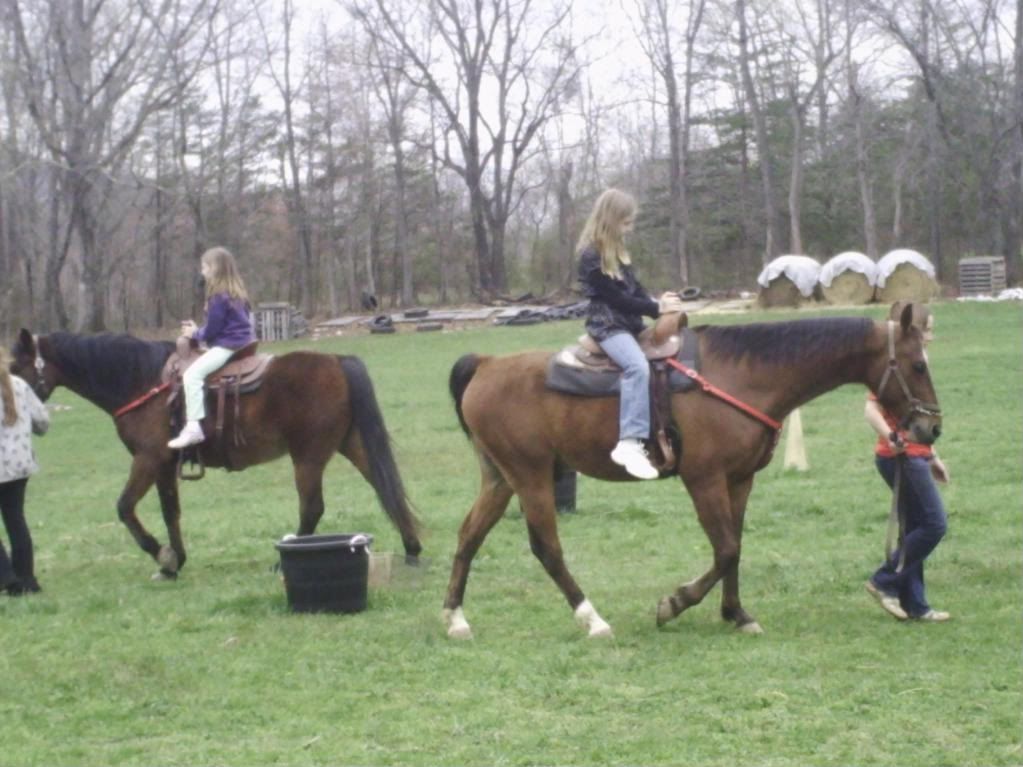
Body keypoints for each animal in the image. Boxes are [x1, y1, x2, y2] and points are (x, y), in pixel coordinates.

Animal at [12, 329, 419, 576]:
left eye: (16, 364)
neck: (142, 382)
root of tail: (336, 359)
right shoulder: (164, 466)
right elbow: (170, 512)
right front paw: (175, 562)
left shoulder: (147, 460)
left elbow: (125, 508)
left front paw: (161, 555)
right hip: (351, 444)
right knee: (386, 488)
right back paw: (412, 548)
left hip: (308, 456)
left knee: (313, 507)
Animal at [443, 302, 937, 638]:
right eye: (917, 363)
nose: (930, 427)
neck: (740, 377)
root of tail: (486, 364)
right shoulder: (704, 480)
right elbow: (725, 549)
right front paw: (674, 603)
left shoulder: (739, 479)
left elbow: (735, 546)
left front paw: (736, 614)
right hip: (531, 476)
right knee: (546, 547)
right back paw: (593, 619)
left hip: (501, 478)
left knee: (469, 536)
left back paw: (455, 618)